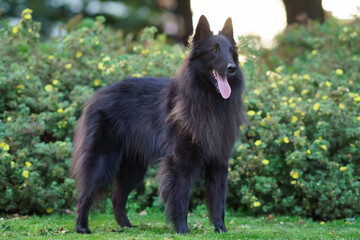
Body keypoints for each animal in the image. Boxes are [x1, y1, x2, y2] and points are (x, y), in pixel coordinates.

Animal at [71, 15, 245, 234]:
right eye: (213, 50)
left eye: (231, 51)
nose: (232, 68)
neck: (207, 99)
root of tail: (95, 96)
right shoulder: (180, 162)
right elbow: (181, 198)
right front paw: (182, 230)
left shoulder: (219, 163)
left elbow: (219, 201)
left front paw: (221, 230)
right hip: (103, 161)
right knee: (85, 195)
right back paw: (82, 227)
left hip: (134, 168)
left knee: (117, 197)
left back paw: (127, 226)